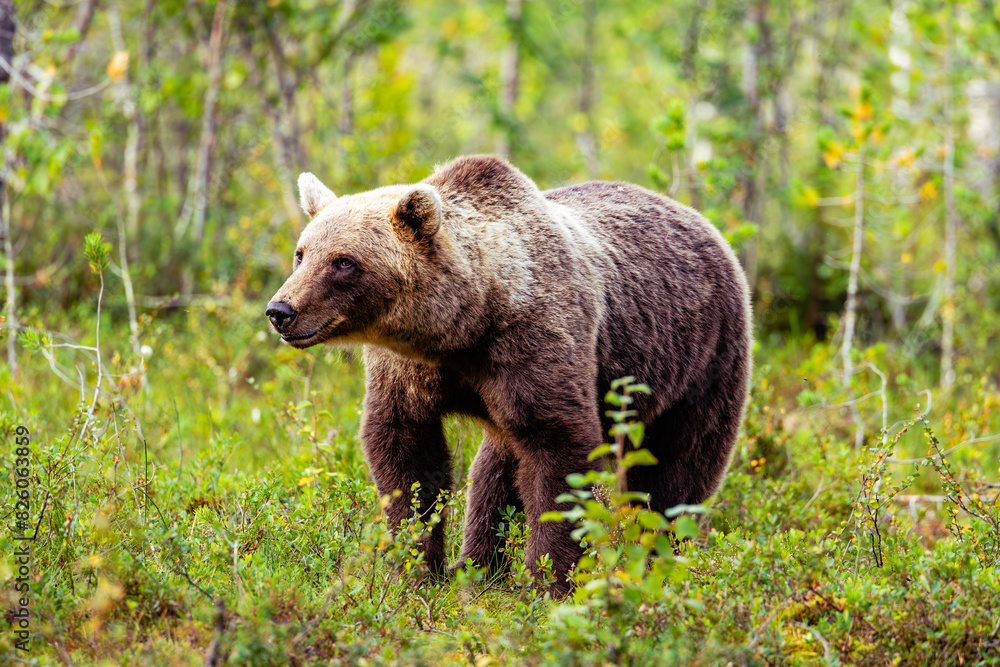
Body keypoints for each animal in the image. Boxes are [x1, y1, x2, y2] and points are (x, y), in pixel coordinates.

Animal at [266, 154, 752, 596]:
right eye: (301, 253)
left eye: (343, 262)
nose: (281, 310)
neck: (464, 325)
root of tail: (699, 219)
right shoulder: (410, 371)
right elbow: (405, 451)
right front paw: (415, 568)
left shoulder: (535, 345)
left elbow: (561, 454)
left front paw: (548, 582)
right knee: (495, 471)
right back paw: (477, 566)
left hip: (700, 357)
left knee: (677, 469)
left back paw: (657, 558)